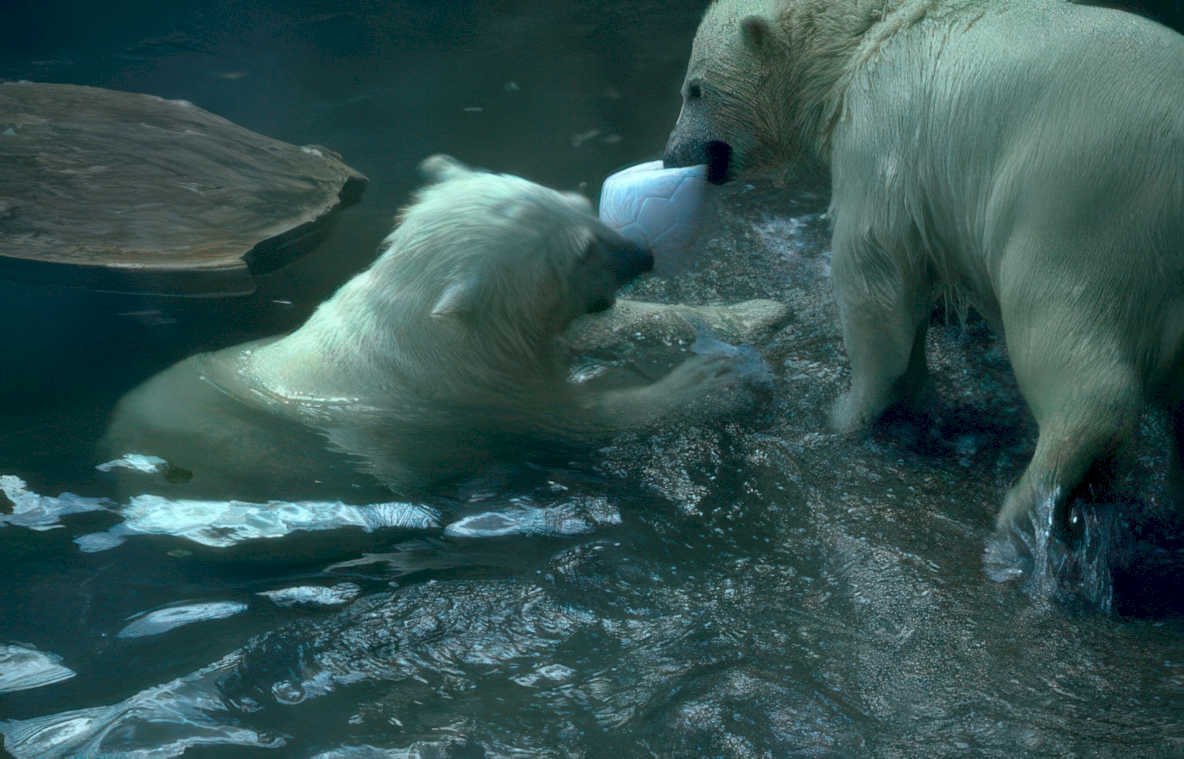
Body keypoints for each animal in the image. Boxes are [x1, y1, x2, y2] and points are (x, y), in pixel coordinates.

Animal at [103, 155, 783, 500]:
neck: (438, 333)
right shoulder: (466, 398)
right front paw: (716, 378)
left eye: (582, 206)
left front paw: (758, 311)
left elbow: (585, 336)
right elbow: (585, 420)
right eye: (583, 250)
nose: (642, 255)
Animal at [663, 0, 1184, 543]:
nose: (673, 154)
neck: (863, 36)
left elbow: (875, 274)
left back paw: (1029, 502)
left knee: (1067, 342)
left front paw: (847, 413)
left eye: (695, 89)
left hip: (1087, 203)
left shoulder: (882, 130)